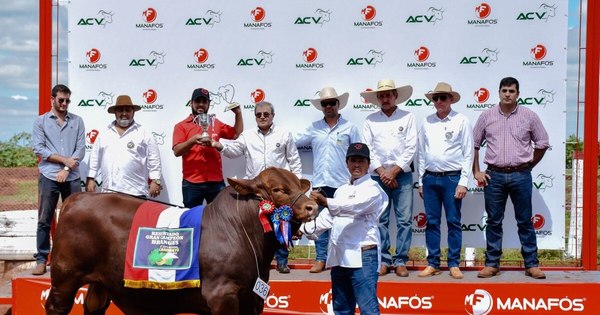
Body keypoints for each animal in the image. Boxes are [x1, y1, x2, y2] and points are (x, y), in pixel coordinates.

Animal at [44, 168, 316, 314]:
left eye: (298, 184)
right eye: (278, 189)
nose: (312, 206)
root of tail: (77, 198)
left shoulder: (252, 297)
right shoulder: (223, 294)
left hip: (100, 283)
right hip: (65, 279)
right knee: (56, 306)